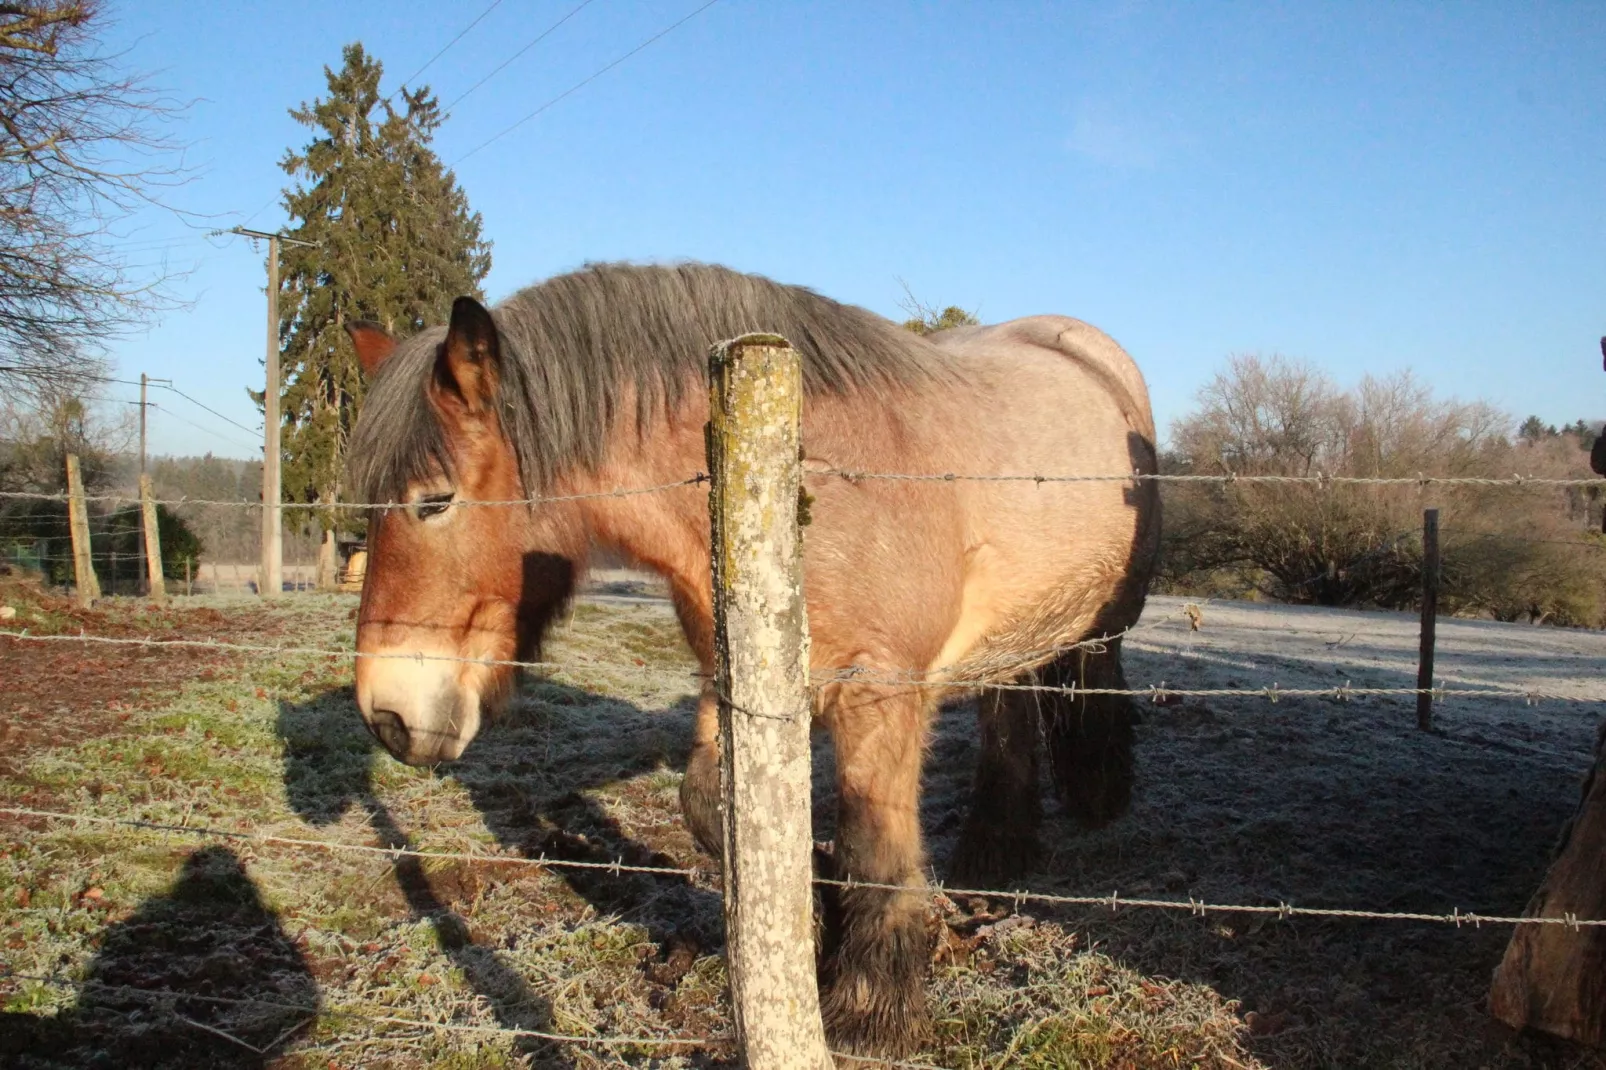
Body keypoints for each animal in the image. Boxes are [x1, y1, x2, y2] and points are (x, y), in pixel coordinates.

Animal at [345, 258, 1162, 1047]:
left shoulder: (881, 701)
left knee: (1090, 682)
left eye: (434, 500)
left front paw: (871, 1011)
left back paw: (1097, 796)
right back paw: (996, 852)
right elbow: (707, 805)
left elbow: (873, 848)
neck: (807, 477)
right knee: (1008, 709)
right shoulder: (733, 677)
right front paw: (812, 905)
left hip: (1104, 620)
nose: (386, 715)